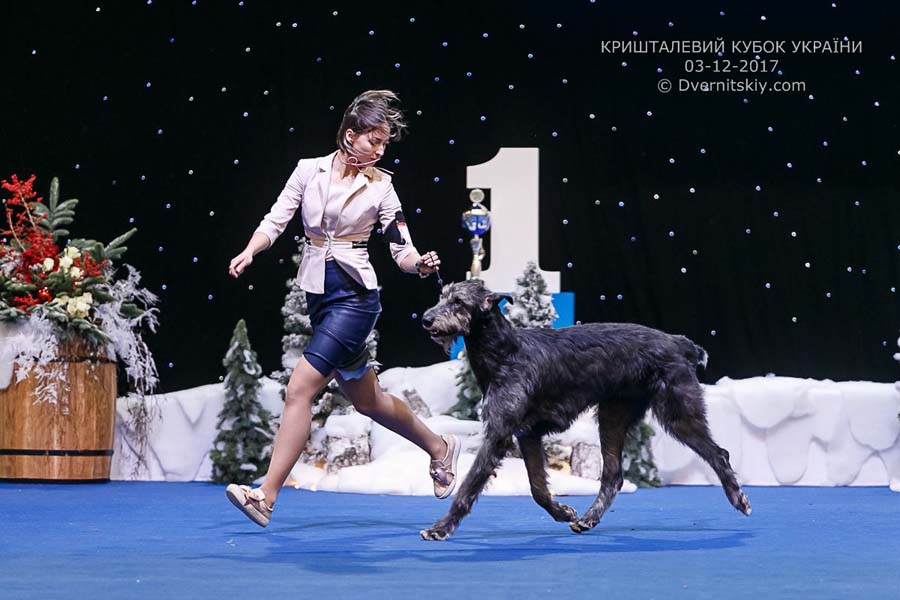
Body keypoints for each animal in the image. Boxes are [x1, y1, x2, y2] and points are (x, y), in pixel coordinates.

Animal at [418, 278, 748, 540]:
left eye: (458, 302)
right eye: (441, 296)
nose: (426, 319)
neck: (504, 352)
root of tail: (679, 344)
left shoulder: (500, 434)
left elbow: (470, 485)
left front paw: (441, 528)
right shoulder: (527, 434)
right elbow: (538, 489)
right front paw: (562, 512)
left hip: (678, 413)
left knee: (719, 453)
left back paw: (738, 498)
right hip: (613, 416)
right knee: (613, 475)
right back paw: (588, 519)